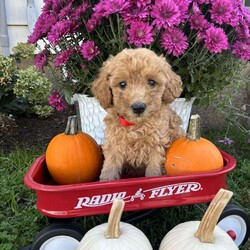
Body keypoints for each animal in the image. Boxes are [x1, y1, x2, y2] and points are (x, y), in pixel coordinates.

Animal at [92, 47, 184, 181]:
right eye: (122, 84)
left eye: (151, 82)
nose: (138, 107)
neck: (136, 125)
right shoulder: (114, 144)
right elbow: (109, 168)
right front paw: (106, 181)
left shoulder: (157, 143)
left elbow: (153, 171)